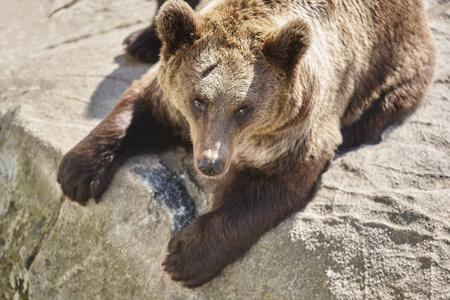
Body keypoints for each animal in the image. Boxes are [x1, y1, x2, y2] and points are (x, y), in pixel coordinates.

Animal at [57, 0, 436, 288]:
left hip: (392, 66)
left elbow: (263, 190)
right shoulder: (174, 101)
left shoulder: (294, 130)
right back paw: (142, 39)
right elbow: (140, 107)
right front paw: (76, 173)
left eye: (243, 108)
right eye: (199, 100)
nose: (210, 163)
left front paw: (184, 256)